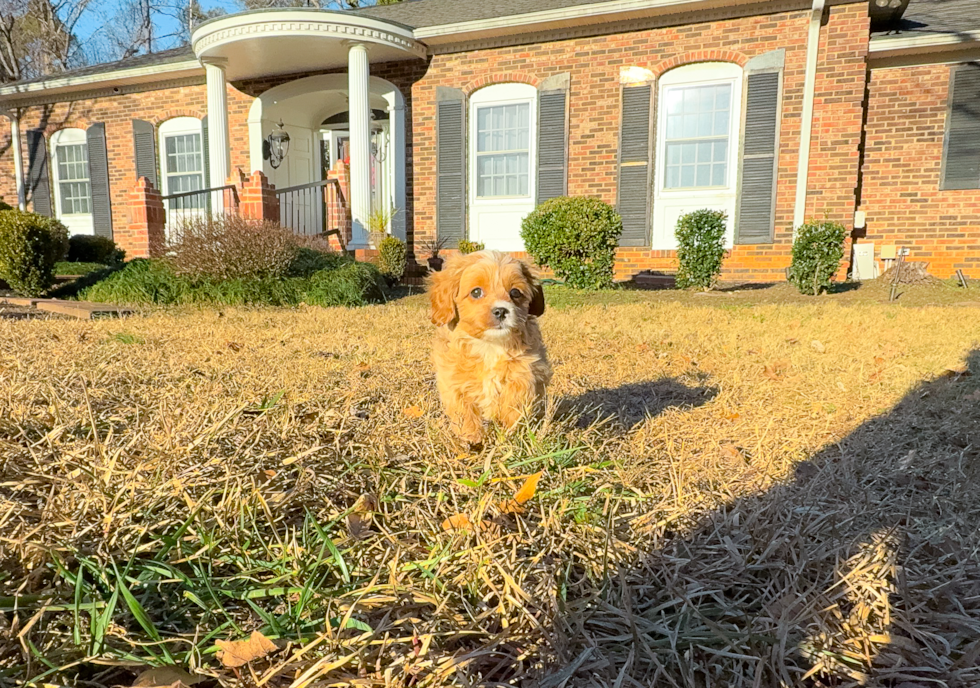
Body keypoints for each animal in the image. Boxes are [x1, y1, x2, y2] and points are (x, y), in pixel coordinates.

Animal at [428, 250, 552, 444]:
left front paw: (509, 432)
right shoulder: (453, 380)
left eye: (515, 292)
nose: (501, 311)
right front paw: (472, 438)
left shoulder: (529, 369)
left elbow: (516, 397)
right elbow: (464, 411)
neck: (489, 345)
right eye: (476, 292)